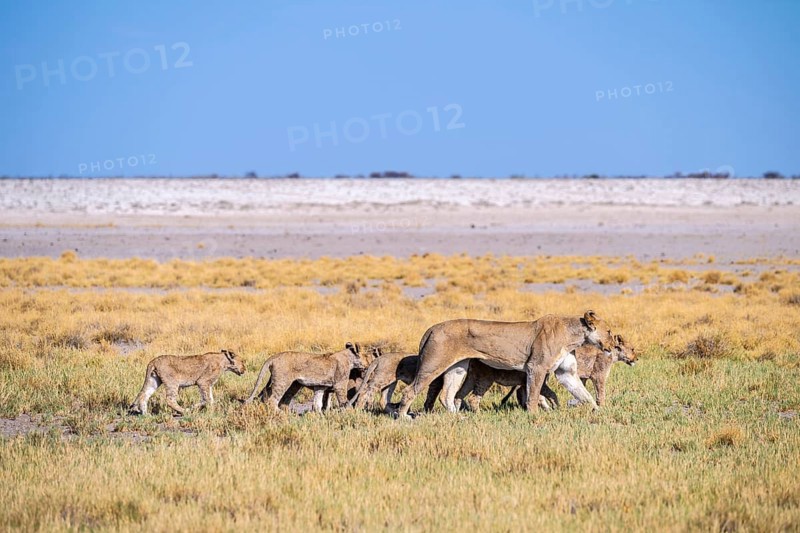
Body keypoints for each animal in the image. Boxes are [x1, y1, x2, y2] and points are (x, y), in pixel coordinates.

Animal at [243, 342, 375, 412]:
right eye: (366, 356)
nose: (369, 364)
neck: (349, 358)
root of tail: (274, 356)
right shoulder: (339, 385)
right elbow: (343, 400)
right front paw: (349, 411)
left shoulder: (320, 386)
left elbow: (318, 404)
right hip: (282, 382)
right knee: (272, 400)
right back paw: (279, 414)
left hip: (293, 384)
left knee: (270, 396)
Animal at [394, 311, 613, 418]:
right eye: (610, 331)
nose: (612, 345)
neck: (574, 337)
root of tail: (432, 328)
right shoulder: (536, 367)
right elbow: (533, 395)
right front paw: (533, 416)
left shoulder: (565, 373)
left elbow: (584, 394)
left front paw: (599, 411)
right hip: (433, 364)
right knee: (410, 391)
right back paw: (404, 417)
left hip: (458, 367)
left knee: (447, 395)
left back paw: (459, 418)